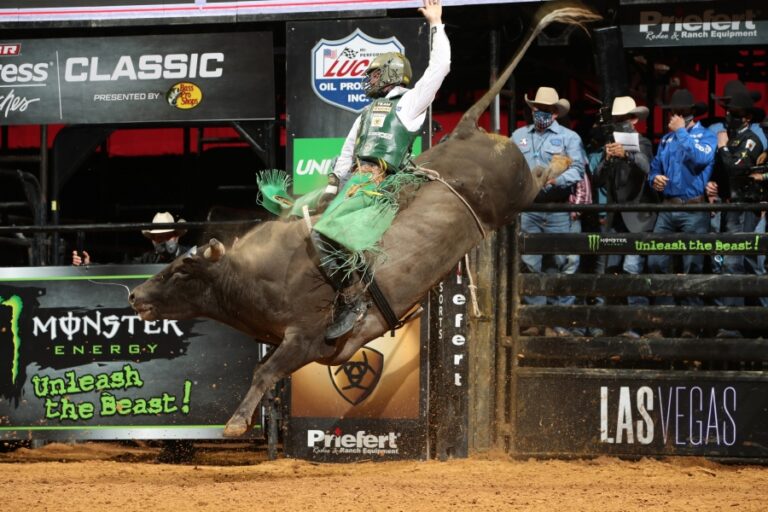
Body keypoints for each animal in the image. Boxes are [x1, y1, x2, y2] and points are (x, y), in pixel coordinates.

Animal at [129, 3, 600, 437]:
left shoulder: (304, 338)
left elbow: (265, 371)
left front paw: (236, 422)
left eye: (182, 269)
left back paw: (559, 161)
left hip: (513, 194)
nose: (134, 295)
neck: (256, 275)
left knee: (538, 176)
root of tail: (465, 131)